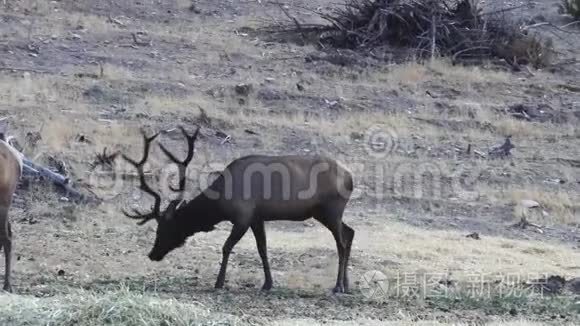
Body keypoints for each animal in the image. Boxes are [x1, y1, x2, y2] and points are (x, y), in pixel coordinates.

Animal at [123, 126, 354, 292]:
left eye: (164, 229)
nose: (152, 254)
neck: (220, 204)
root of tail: (350, 177)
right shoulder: (257, 217)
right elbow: (262, 249)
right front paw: (267, 284)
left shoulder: (242, 216)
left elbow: (226, 247)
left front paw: (219, 283)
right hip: (326, 213)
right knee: (350, 232)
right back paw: (347, 284)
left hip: (331, 210)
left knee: (341, 243)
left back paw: (338, 286)